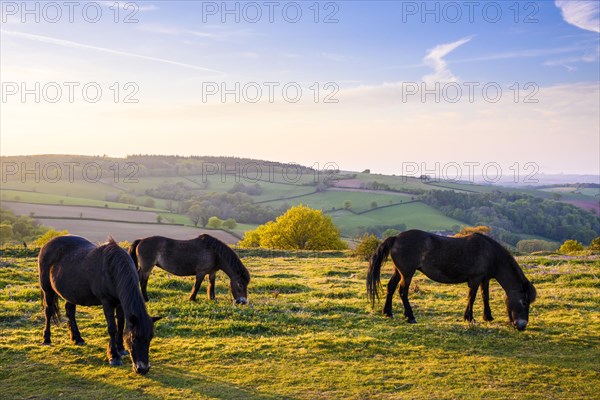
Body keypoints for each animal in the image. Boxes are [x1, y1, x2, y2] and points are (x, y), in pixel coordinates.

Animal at [39, 236, 162, 374]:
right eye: (134, 338)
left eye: (150, 338)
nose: (143, 369)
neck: (113, 269)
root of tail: (47, 244)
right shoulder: (106, 302)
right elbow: (112, 328)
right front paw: (114, 356)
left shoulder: (119, 303)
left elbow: (121, 324)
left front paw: (120, 348)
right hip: (47, 289)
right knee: (48, 311)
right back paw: (46, 339)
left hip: (71, 293)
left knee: (70, 311)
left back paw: (77, 338)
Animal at [368, 230, 536, 330]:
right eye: (524, 302)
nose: (522, 326)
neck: (490, 254)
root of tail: (396, 238)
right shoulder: (475, 279)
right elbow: (472, 297)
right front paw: (469, 318)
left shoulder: (485, 279)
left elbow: (485, 296)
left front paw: (487, 317)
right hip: (407, 274)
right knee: (402, 291)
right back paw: (410, 317)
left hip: (399, 272)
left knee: (390, 287)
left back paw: (388, 313)